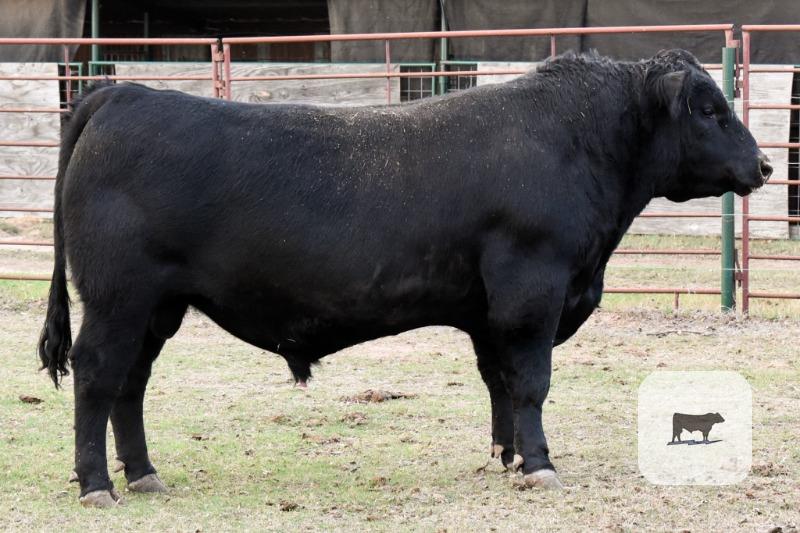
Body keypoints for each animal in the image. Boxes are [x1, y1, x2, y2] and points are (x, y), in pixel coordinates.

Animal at [38, 49, 771, 507]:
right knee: (98, 374)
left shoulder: (488, 311)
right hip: (117, 297)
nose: (764, 165)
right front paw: (538, 465)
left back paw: (144, 474)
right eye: (709, 109)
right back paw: (96, 483)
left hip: (156, 306)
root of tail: (121, 93)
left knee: (130, 383)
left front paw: (506, 457)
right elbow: (531, 383)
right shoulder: (531, 292)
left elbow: (500, 383)